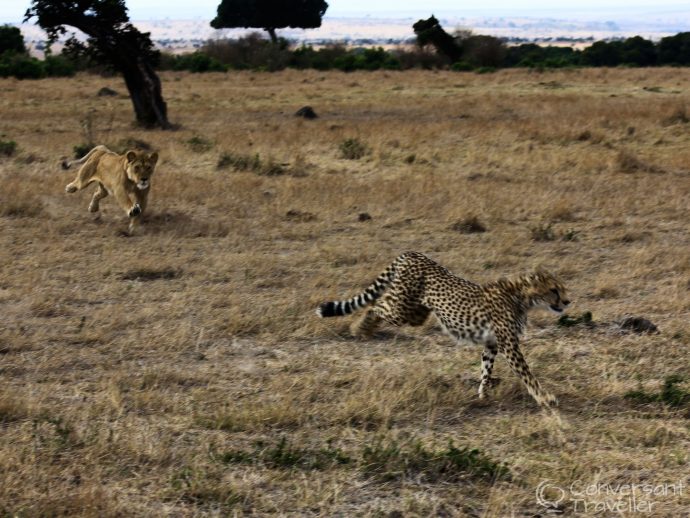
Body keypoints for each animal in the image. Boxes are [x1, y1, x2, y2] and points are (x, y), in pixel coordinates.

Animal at [314, 252, 568, 410]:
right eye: (554, 290)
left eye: (562, 289)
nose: (567, 302)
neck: (522, 297)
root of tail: (413, 253)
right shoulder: (509, 345)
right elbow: (527, 374)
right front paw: (544, 397)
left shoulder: (492, 343)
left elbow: (486, 369)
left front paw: (483, 393)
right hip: (401, 308)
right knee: (376, 305)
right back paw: (360, 328)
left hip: (416, 313)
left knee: (379, 304)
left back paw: (365, 329)